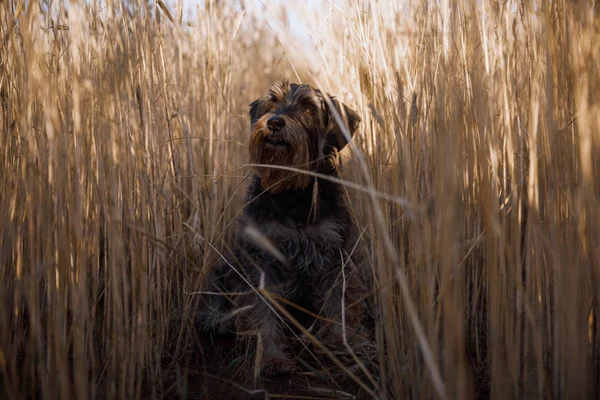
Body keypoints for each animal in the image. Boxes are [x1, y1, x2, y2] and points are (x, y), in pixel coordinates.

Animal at [197, 80, 370, 376]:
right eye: (272, 102)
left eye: (309, 108)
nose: (275, 122)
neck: (292, 191)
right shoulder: (262, 259)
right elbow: (263, 311)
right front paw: (271, 357)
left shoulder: (334, 254)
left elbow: (336, 301)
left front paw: (340, 342)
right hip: (226, 265)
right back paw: (218, 319)